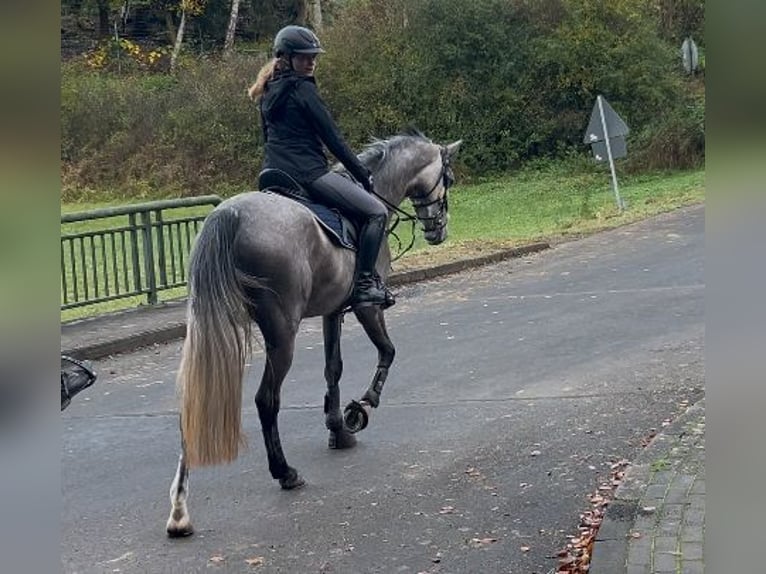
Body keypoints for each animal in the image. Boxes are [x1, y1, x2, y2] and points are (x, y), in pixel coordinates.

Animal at [166, 130, 462, 540]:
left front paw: (338, 428)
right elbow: (387, 351)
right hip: (281, 333)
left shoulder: (332, 311)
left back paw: (179, 511)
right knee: (266, 400)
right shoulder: (366, 308)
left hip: (211, 329)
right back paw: (285, 473)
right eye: (448, 178)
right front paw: (360, 408)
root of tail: (231, 216)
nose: (438, 230)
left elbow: (332, 368)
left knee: (195, 401)